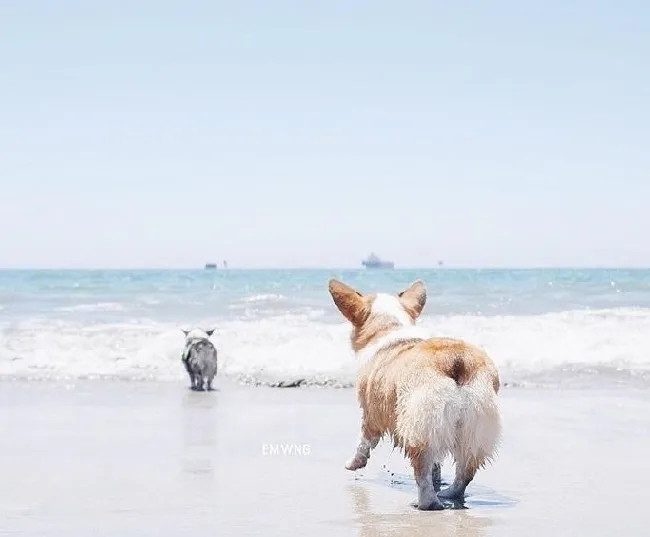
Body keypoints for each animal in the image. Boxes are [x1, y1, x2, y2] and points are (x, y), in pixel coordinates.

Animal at [330, 278, 502, 508]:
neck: (391, 328)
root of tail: (456, 360)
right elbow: (437, 463)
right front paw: (438, 476)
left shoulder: (370, 413)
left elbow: (363, 443)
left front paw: (353, 464)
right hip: (473, 429)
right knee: (464, 472)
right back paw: (449, 494)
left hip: (420, 425)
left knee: (422, 472)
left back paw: (427, 503)